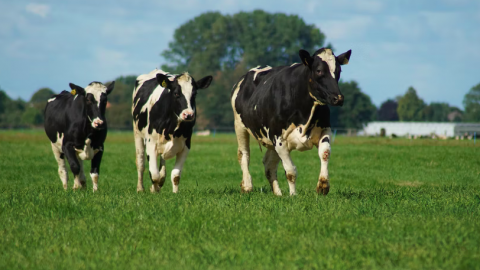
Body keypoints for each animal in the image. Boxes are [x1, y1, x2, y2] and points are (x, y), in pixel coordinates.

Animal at [231, 47, 350, 196]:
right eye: (319, 70)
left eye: (339, 71)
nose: (338, 98)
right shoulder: (279, 139)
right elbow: (291, 171)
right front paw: (293, 195)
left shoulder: (325, 129)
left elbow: (325, 153)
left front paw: (323, 185)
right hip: (240, 126)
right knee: (244, 155)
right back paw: (247, 186)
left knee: (268, 164)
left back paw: (278, 193)